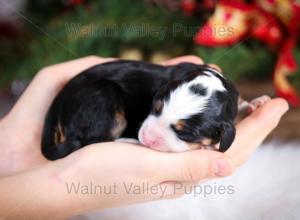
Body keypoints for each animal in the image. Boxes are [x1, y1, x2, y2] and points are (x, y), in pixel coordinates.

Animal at [41, 60, 268, 160]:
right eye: (155, 106)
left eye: (185, 133)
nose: (147, 138)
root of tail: (57, 103)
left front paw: (256, 103)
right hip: (102, 96)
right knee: (91, 141)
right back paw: (129, 141)